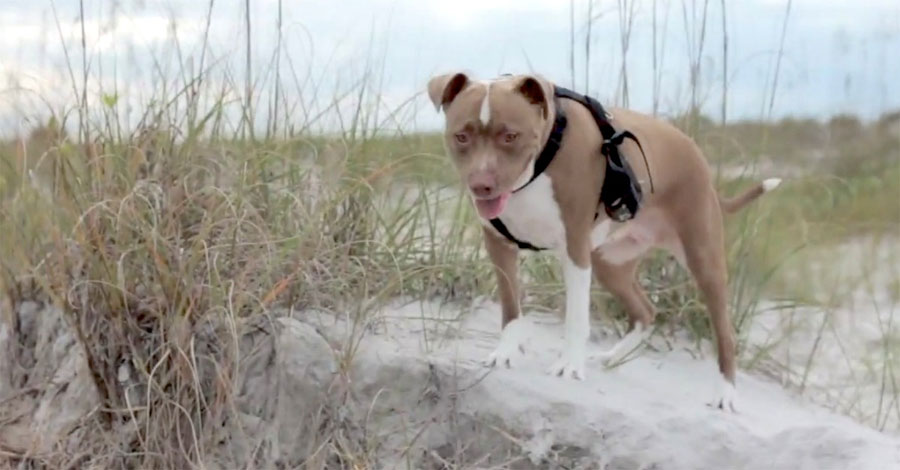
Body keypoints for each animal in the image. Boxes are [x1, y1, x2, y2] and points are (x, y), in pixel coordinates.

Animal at [426, 71, 776, 410]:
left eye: (510, 136)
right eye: (461, 136)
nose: (481, 185)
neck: (539, 163)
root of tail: (695, 152)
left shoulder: (575, 249)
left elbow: (576, 317)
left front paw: (569, 365)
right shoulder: (499, 246)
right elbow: (511, 309)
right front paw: (506, 353)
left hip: (702, 259)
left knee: (724, 332)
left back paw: (725, 392)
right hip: (610, 262)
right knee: (645, 312)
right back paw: (611, 357)